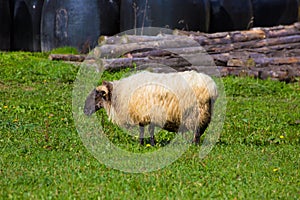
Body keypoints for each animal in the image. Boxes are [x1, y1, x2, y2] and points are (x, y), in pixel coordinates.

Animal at [84, 70, 218, 145]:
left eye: (97, 95)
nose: (85, 110)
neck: (119, 94)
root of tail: (212, 87)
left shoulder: (143, 115)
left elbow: (144, 130)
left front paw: (142, 144)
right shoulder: (149, 116)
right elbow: (149, 130)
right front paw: (151, 143)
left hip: (198, 112)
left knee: (198, 129)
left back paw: (194, 145)